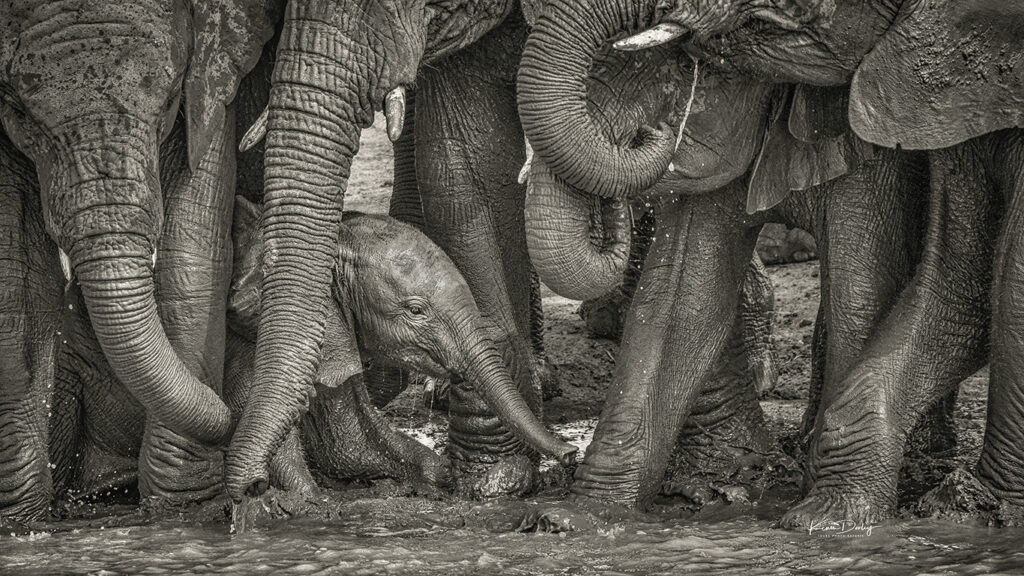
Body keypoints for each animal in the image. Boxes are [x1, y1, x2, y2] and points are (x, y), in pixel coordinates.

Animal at [0, 0, 281, 520]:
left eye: (170, 100)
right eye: (19, 114)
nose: (254, 485)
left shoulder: (209, 86)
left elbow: (192, 246)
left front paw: (182, 512)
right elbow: (15, 272)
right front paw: (19, 519)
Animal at [49, 196, 575, 502]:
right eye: (416, 310)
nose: (570, 454)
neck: (332, 239)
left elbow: (352, 439)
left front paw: (436, 478)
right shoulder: (248, 342)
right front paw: (304, 508)